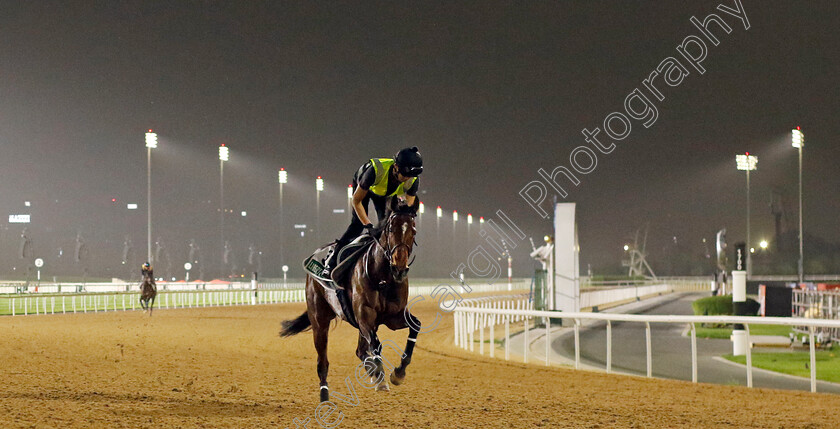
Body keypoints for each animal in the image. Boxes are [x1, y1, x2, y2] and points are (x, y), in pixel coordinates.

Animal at [280, 197, 420, 402]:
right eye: (390, 229)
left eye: (413, 230)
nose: (399, 267)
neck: (383, 277)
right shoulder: (365, 316)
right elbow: (376, 344)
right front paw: (381, 378)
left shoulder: (393, 317)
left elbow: (415, 326)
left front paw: (398, 373)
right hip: (319, 320)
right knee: (322, 362)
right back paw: (325, 396)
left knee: (361, 350)